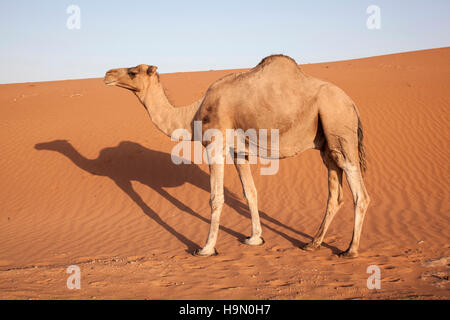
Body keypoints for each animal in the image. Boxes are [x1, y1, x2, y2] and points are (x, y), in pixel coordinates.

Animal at [103, 54, 370, 258]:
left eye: (133, 72)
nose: (107, 74)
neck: (192, 116)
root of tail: (353, 104)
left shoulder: (214, 145)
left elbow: (216, 198)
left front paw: (206, 248)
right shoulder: (238, 151)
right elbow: (250, 192)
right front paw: (255, 238)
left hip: (339, 127)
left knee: (360, 194)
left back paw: (350, 250)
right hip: (328, 145)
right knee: (335, 194)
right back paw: (312, 243)